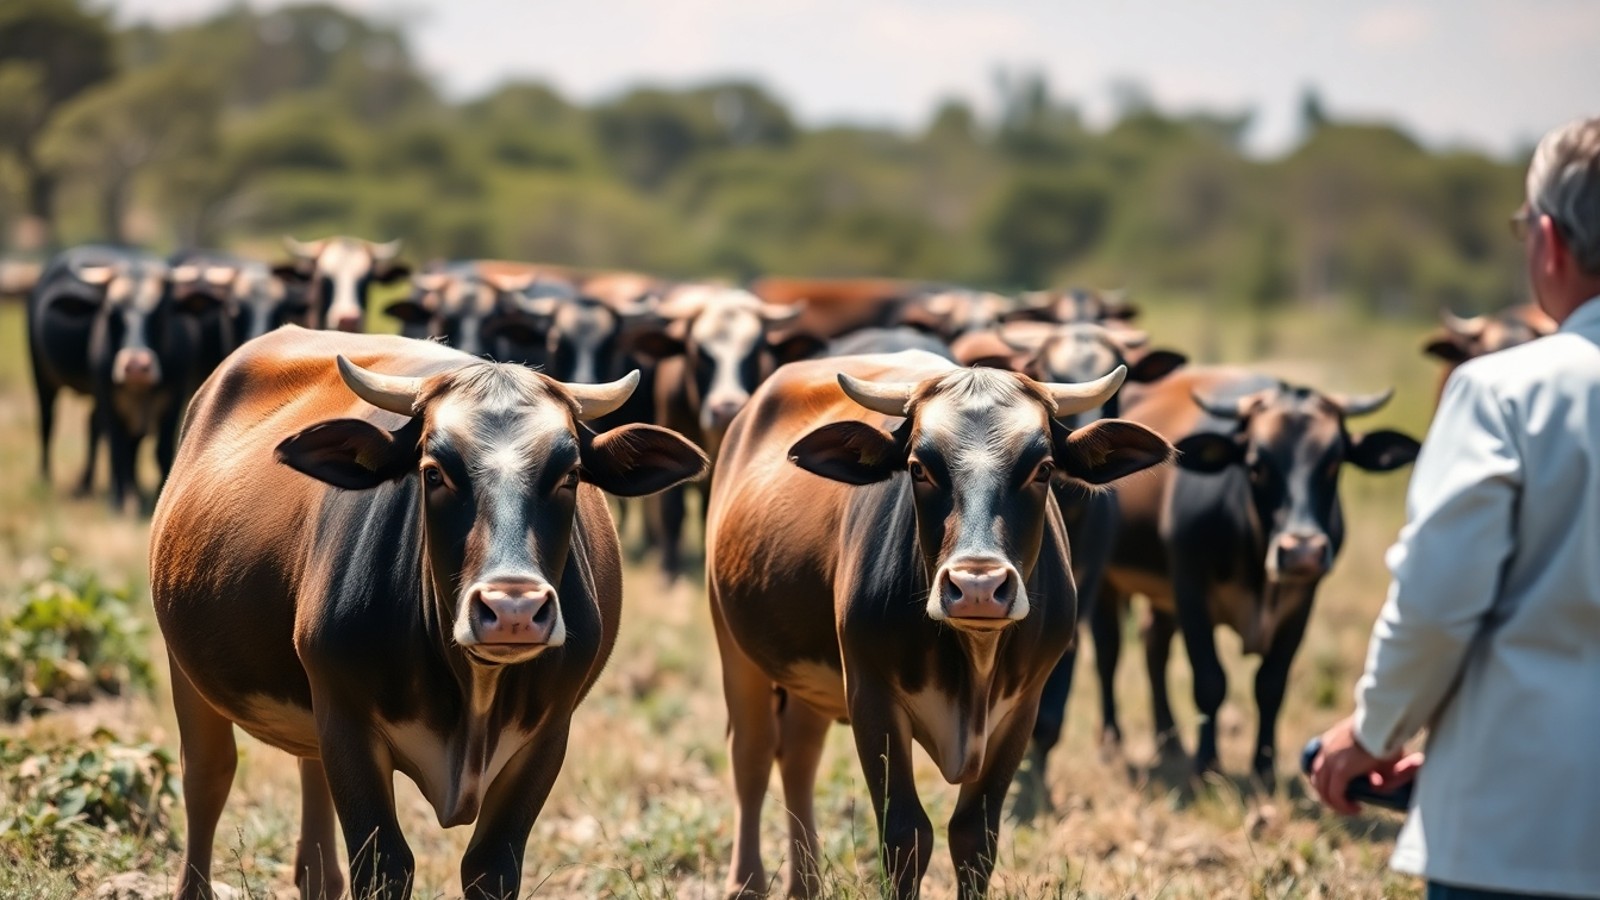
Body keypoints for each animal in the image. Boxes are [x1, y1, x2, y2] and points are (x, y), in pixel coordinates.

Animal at [150, 327, 708, 900]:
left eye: (571, 474)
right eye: (434, 473)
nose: (512, 608)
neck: (475, 694)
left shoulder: (549, 734)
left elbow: (491, 867)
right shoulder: (348, 721)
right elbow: (385, 865)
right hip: (187, 666)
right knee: (208, 776)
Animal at [706, 352, 1172, 899]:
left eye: (1043, 469)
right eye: (917, 468)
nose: (977, 586)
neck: (974, 663)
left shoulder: (1022, 708)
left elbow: (975, 837)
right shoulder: (870, 693)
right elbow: (906, 834)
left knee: (799, 753)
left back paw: (806, 885)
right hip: (733, 645)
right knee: (752, 757)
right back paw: (746, 883)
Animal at [1100, 368, 1421, 781]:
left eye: (1334, 463)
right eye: (1256, 464)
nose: (1302, 551)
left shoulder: (1302, 600)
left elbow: (1271, 683)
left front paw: (1264, 767)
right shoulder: (1190, 588)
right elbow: (1210, 680)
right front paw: (1207, 763)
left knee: (1153, 644)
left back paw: (1169, 741)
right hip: (1106, 580)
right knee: (1109, 651)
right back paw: (1112, 741)